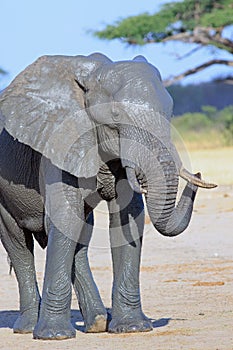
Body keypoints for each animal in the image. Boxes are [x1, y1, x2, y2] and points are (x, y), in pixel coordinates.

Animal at [0, 52, 216, 340]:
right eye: (115, 114)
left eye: (170, 111)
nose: (199, 174)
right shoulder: (58, 142)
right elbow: (64, 219)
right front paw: (54, 335)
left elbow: (128, 220)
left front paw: (132, 328)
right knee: (18, 244)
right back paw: (27, 328)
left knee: (80, 237)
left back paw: (98, 322)